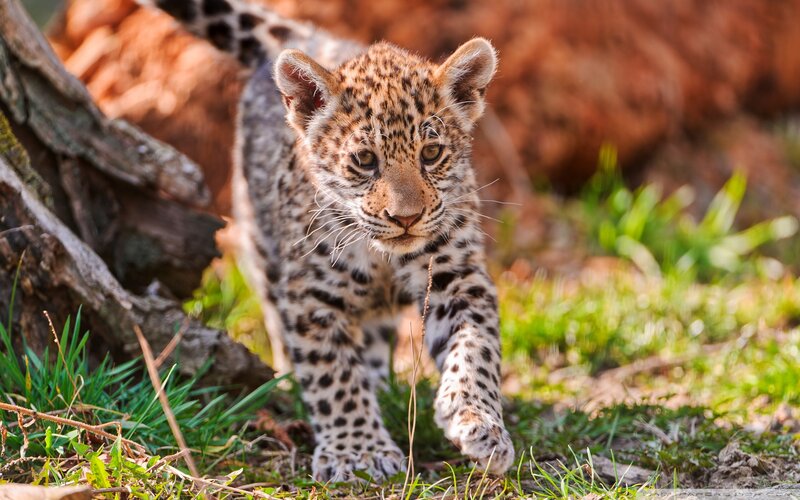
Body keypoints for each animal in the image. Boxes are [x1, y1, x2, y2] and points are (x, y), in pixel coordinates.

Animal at [140, 0, 515, 482]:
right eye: (365, 160)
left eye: (431, 154)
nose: (406, 218)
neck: (382, 256)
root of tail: (308, 37)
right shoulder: (312, 295)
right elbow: (333, 374)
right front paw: (357, 450)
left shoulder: (457, 276)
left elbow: (474, 348)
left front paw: (479, 422)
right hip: (259, 241)